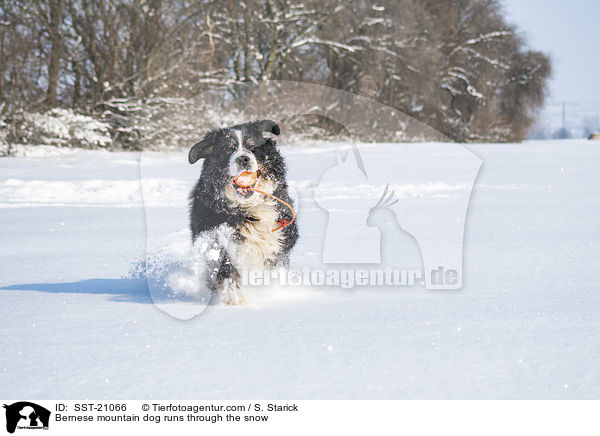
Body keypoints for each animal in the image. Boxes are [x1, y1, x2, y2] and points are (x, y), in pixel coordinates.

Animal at [189, 119, 298, 304]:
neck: (249, 208)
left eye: (252, 146)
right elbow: (227, 273)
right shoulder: (215, 241)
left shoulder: (279, 244)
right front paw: (235, 300)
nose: (243, 159)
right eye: (228, 149)